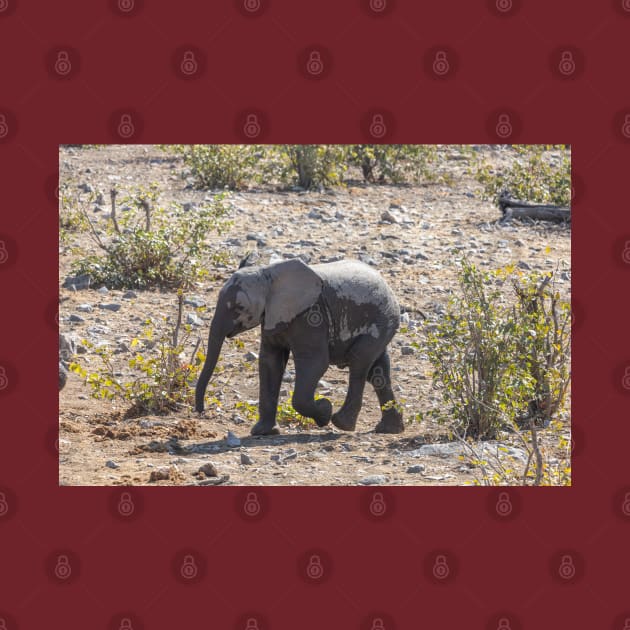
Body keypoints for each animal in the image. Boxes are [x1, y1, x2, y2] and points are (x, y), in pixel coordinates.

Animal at [195, 256, 408, 434]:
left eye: (239, 307)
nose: (200, 411)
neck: (268, 275)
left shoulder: (310, 316)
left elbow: (314, 363)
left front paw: (324, 410)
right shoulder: (273, 316)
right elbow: (270, 363)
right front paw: (263, 432)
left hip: (383, 319)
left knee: (359, 362)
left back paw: (342, 423)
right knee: (377, 372)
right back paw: (388, 430)